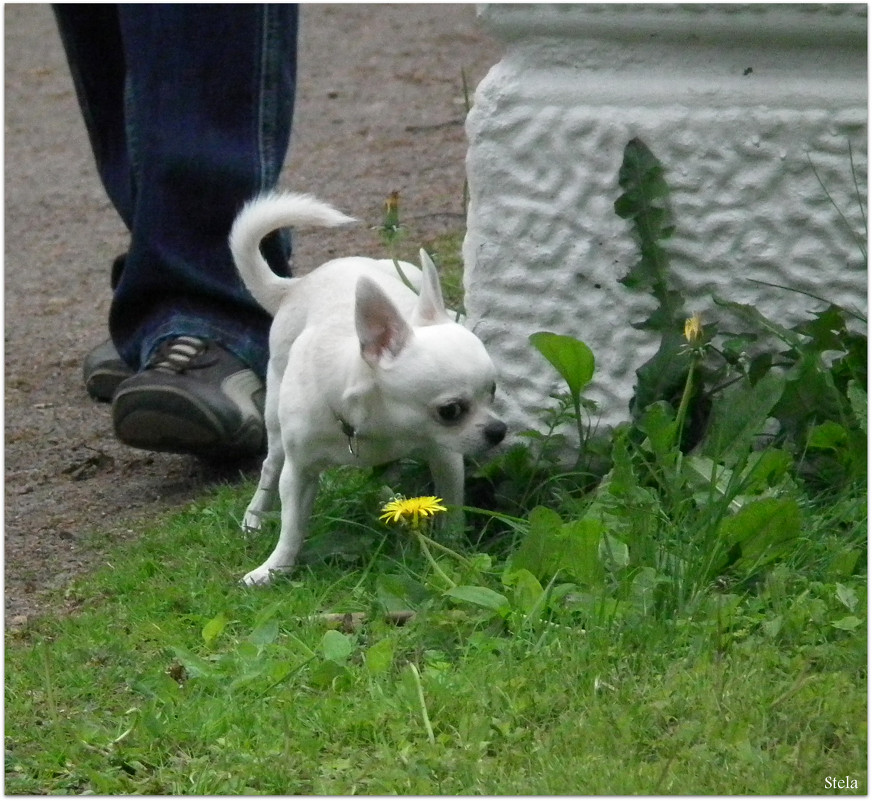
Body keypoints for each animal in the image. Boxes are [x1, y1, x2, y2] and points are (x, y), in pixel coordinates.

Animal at [228, 191, 508, 584]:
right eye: (450, 410)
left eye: (493, 392)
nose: (499, 430)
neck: (378, 427)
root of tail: (297, 284)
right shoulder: (299, 473)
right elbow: (292, 524)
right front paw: (274, 568)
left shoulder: (445, 455)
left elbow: (450, 504)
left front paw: (453, 549)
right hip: (276, 422)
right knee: (270, 465)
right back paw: (254, 517)